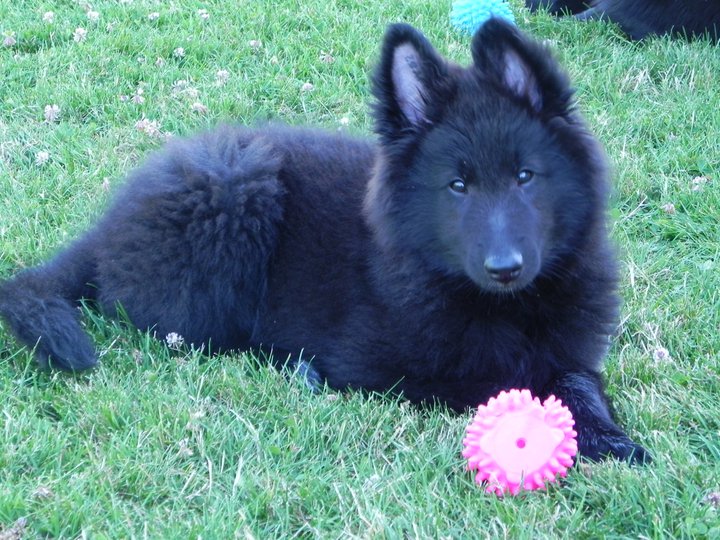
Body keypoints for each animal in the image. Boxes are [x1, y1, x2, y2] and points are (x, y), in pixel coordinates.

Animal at [0, 19, 648, 462]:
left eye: (525, 176)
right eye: (458, 186)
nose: (505, 268)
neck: (508, 306)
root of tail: (106, 228)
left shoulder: (571, 348)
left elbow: (577, 380)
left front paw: (612, 437)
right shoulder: (397, 367)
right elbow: (508, 383)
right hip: (238, 189)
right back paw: (298, 369)